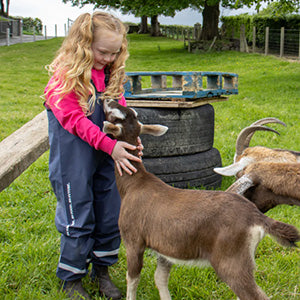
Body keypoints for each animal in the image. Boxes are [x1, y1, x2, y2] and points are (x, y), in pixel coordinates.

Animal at [102, 100, 298, 300]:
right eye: (128, 113)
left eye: (116, 116)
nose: (109, 100)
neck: (135, 183)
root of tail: (257, 217)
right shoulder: (165, 250)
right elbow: (160, 278)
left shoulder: (133, 240)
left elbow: (132, 278)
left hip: (231, 263)